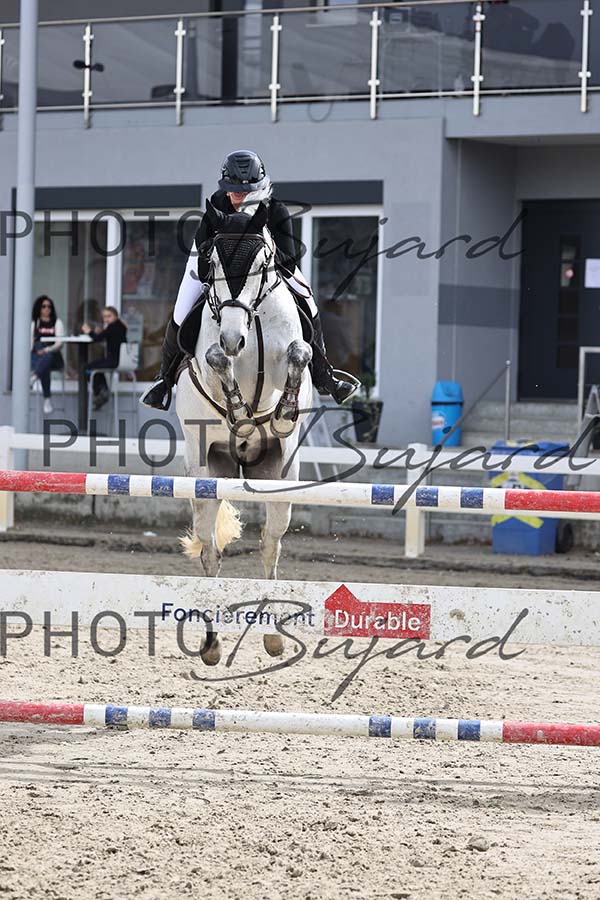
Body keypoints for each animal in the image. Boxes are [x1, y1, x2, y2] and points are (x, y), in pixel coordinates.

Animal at [175, 200, 314, 665]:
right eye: (212, 263)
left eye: (260, 264)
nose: (235, 338)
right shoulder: (212, 357)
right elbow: (214, 359)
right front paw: (238, 411)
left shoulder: (285, 355)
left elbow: (300, 351)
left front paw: (284, 413)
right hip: (206, 474)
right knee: (209, 551)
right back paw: (212, 644)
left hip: (280, 479)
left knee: (269, 546)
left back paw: (272, 637)